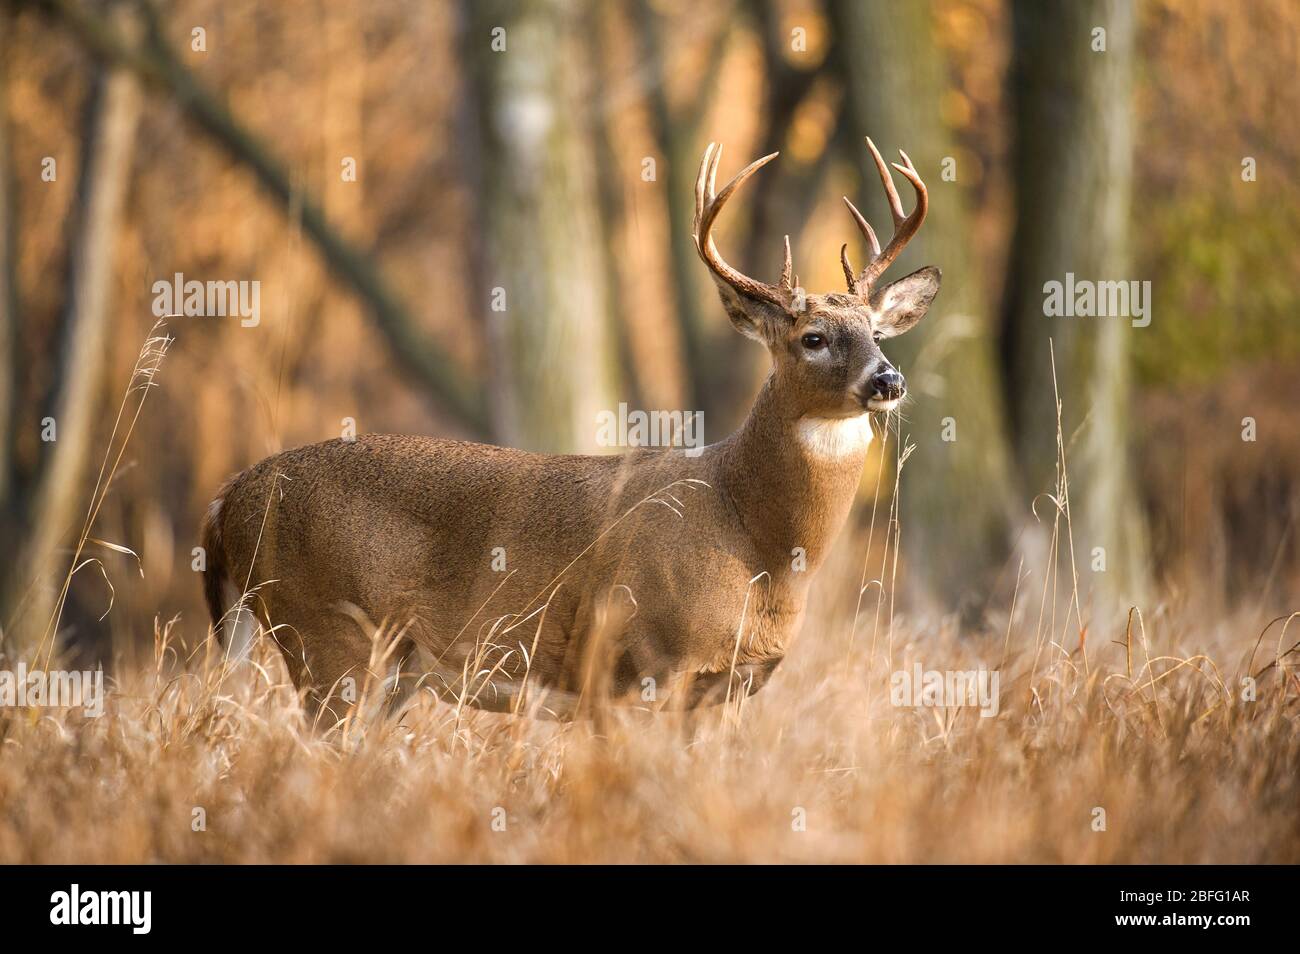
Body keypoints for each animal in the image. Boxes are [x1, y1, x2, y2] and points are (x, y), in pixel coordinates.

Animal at [200, 138, 940, 722]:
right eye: (813, 338)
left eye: (876, 333)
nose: (887, 380)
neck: (756, 543)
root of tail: (231, 494)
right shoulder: (639, 659)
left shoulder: (726, 689)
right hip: (328, 635)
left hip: (385, 670)